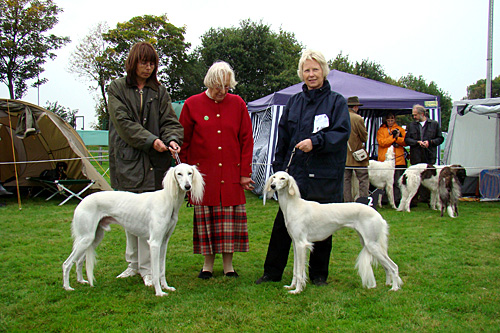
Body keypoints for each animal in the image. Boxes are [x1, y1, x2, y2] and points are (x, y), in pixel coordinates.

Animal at [63, 163, 204, 296]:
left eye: (190, 173)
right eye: (179, 173)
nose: (187, 186)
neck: (168, 200)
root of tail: (82, 201)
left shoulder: (164, 242)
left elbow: (162, 269)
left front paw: (166, 287)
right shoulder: (154, 243)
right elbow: (155, 271)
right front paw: (159, 292)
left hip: (94, 237)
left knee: (79, 260)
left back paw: (81, 280)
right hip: (86, 238)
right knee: (67, 263)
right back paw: (67, 287)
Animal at [266, 171, 402, 294]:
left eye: (283, 178)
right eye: (274, 177)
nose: (272, 185)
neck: (293, 206)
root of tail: (378, 215)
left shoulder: (301, 244)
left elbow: (299, 271)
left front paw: (297, 290)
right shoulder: (295, 243)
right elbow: (296, 270)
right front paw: (291, 286)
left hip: (372, 244)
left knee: (394, 266)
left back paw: (394, 288)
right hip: (369, 243)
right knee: (386, 266)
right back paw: (388, 283)